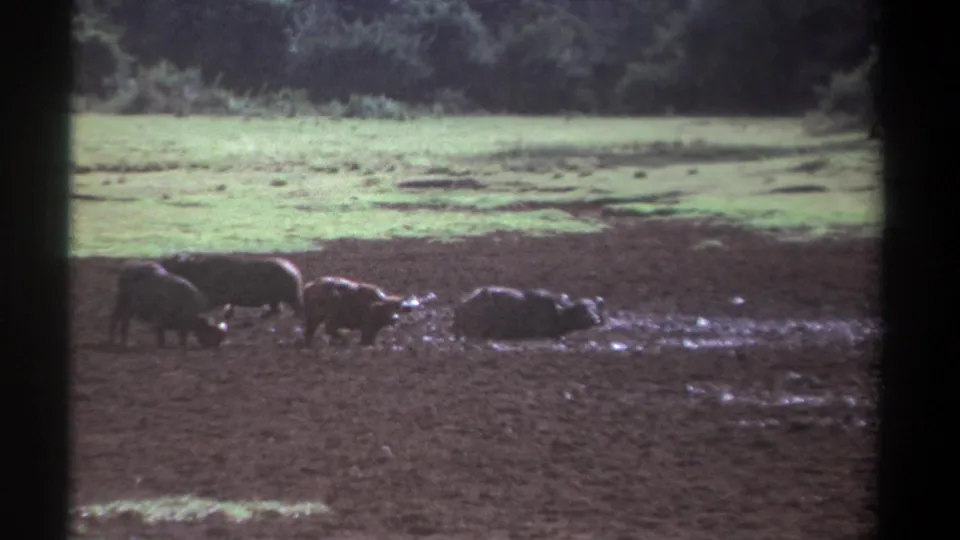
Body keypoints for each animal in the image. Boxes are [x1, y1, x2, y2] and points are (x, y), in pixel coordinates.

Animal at [159, 253, 305, 321]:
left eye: (171, 262)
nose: (161, 265)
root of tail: (295, 271)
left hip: (291, 296)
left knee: (294, 308)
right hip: (277, 298)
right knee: (276, 308)